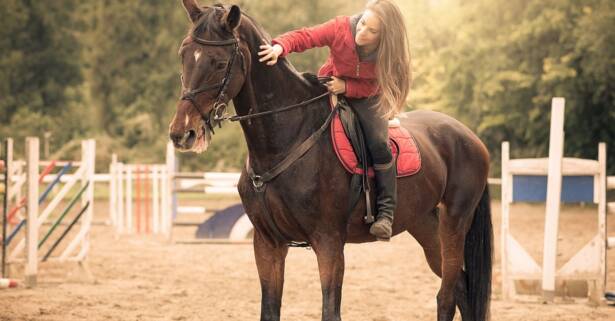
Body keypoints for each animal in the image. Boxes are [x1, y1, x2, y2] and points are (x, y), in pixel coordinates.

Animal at [170, 1, 496, 318]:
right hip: (426, 225)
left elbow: (330, 309)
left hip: (454, 224)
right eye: (183, 56)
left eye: (220, 63)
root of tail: (469, 137)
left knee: (447, 297)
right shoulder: (267, 243)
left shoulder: (328, 243)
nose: (182, 133)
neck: (287, 139)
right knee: (461, 290)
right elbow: (270, 309)